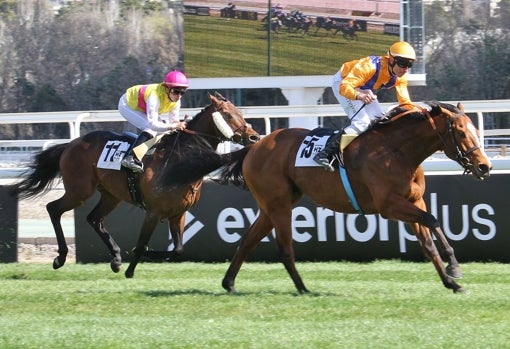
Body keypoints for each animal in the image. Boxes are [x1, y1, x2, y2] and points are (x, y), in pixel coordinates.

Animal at [11, 92, 258, 278]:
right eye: (228, 115)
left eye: (240, 113)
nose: (254, 137)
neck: (181, 161)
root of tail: (71, 144)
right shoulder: (153, 211)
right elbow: (140, 244)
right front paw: (132, 269)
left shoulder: (178, 213)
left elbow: (178, 249)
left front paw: (143, 257)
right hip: (79, 190)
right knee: (53, 208)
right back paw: (61, 257)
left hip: (111, 195)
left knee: (94, 218)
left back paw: (115, 258)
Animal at [209, 101, 492, 294]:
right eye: (460, 132)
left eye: (474, 129)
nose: (485, 166)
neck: (397, 151)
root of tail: (254, 146)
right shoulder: (389, 205)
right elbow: (432, 220)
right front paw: (454, 268)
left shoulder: (414, 201)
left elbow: (428, 241)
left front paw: (451, 280)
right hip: (279, 205)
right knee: (284, 247)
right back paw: (303, 288)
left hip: (274, 204)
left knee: (248, 240)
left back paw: (229, 283)